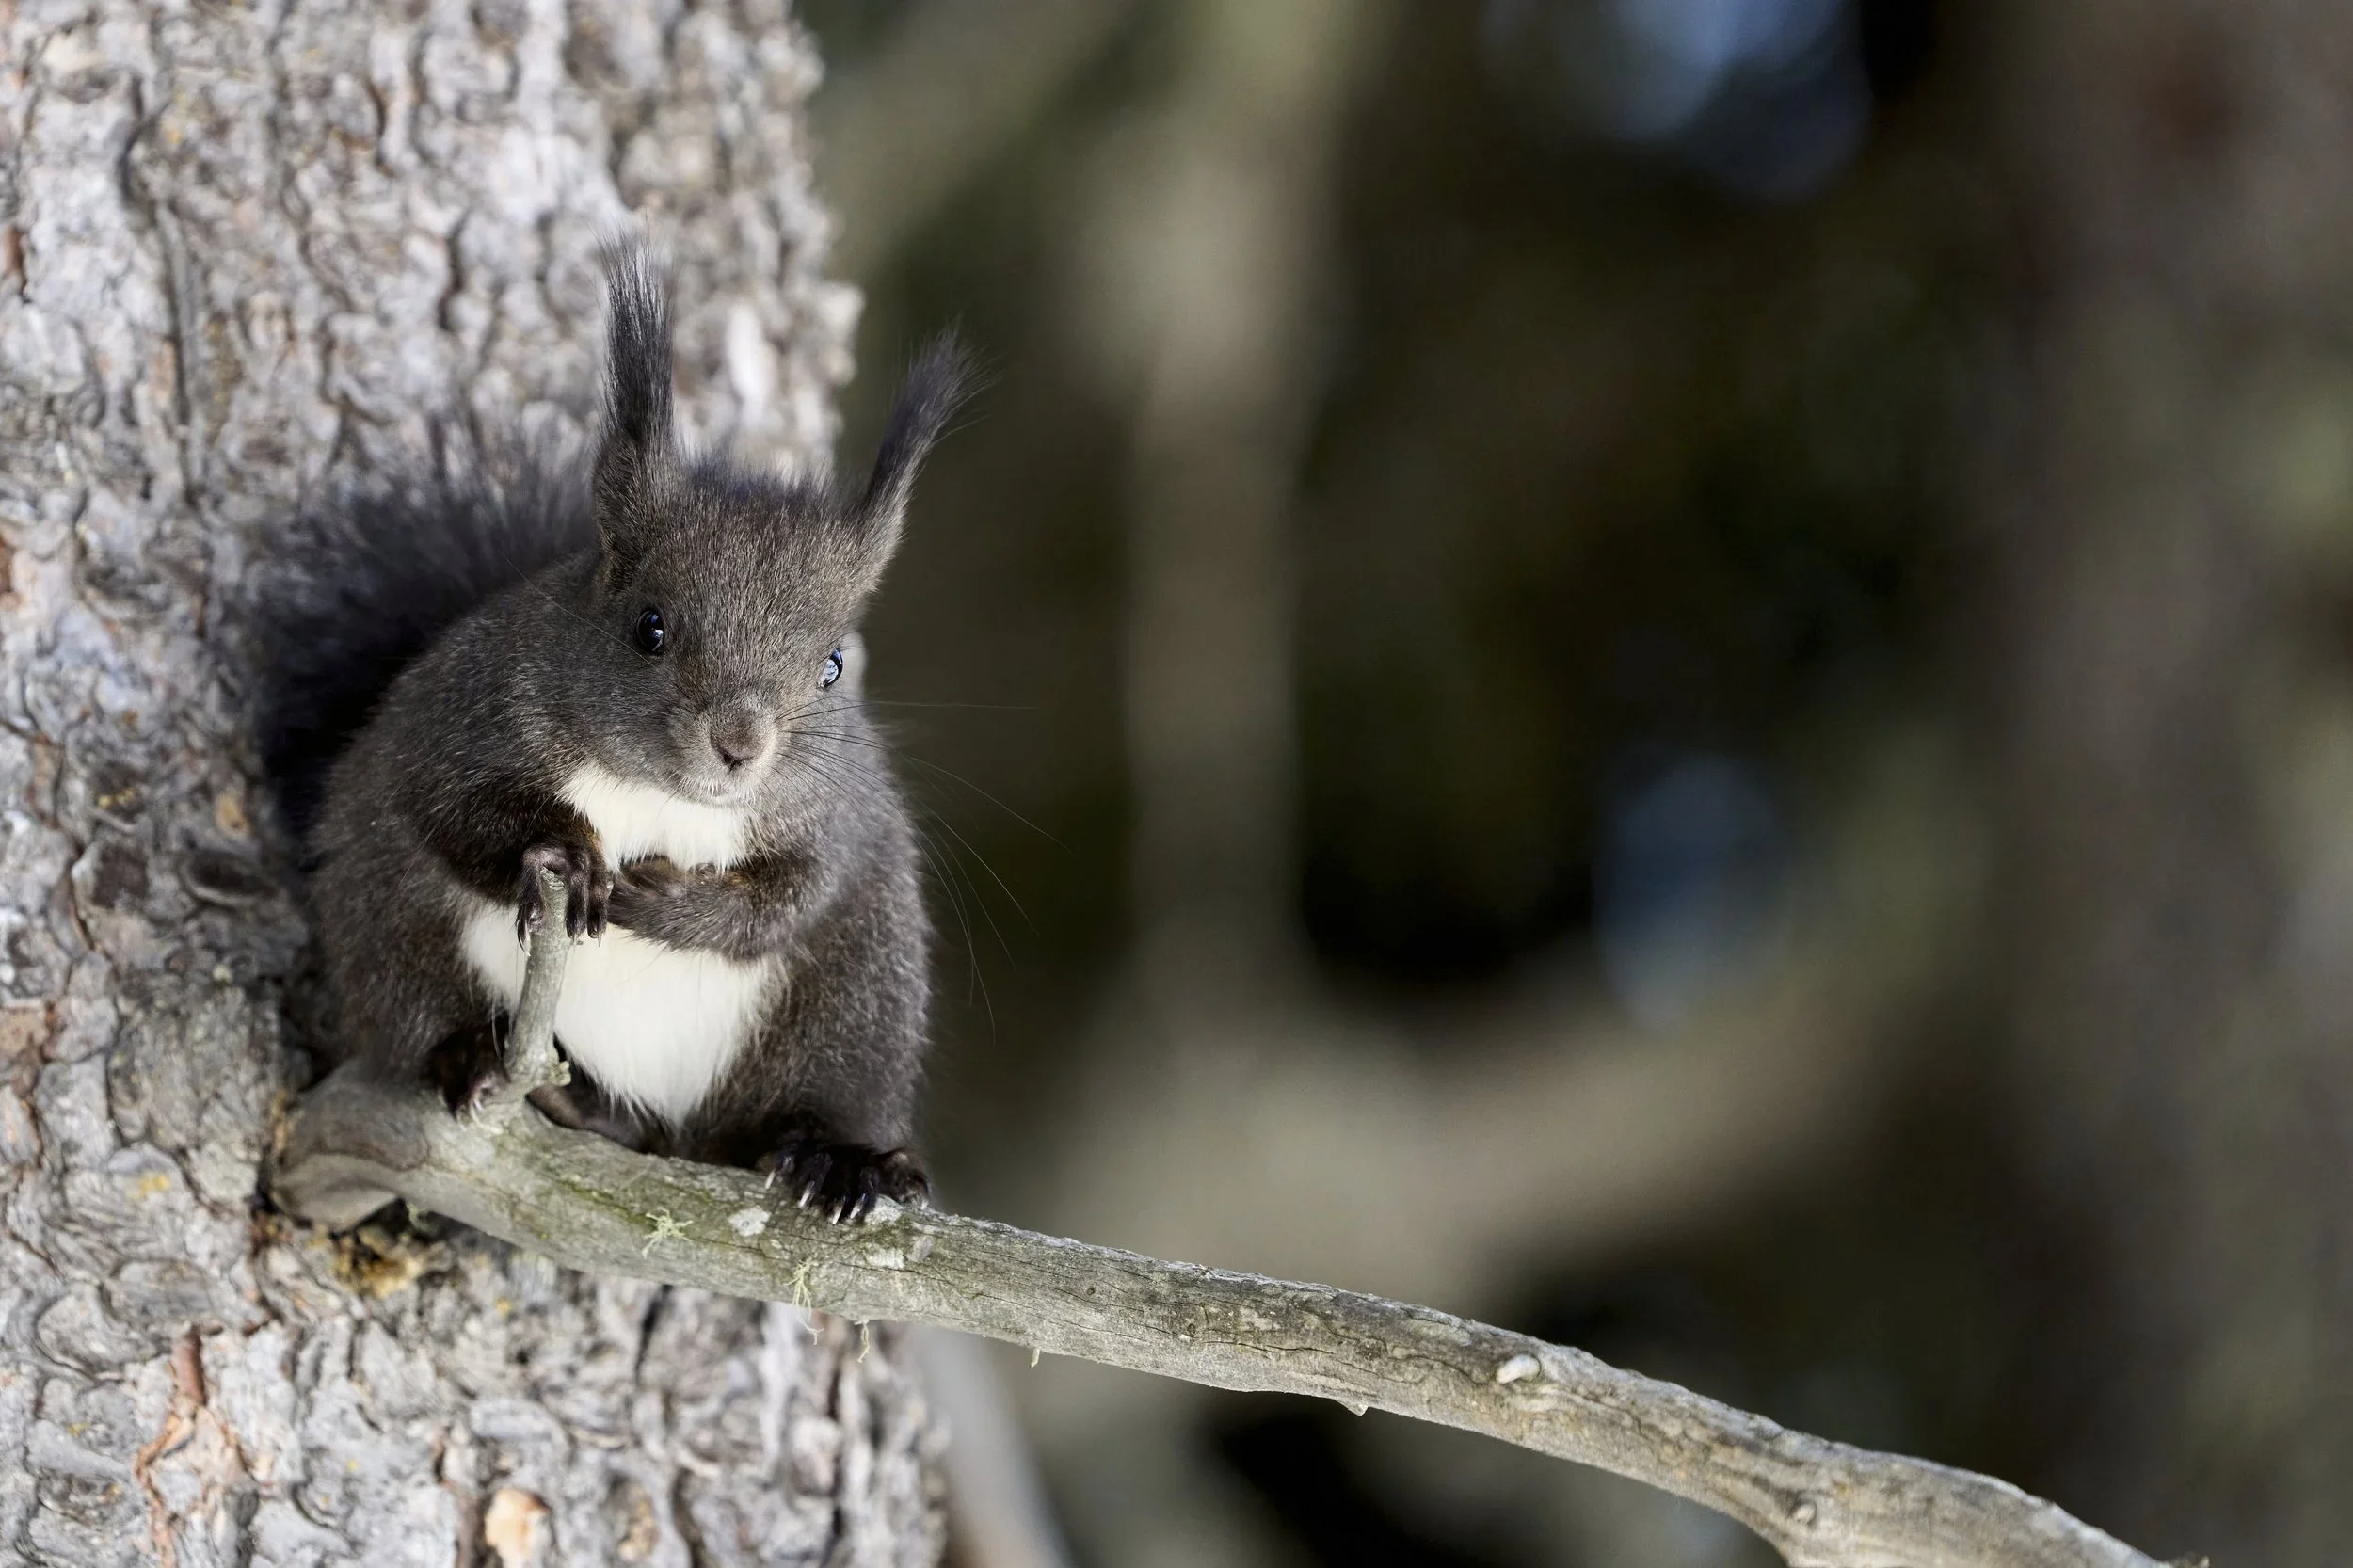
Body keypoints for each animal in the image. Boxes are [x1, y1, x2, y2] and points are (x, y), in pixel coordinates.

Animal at [256, 246, 969, 1223]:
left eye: (832, 665)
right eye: (649, 627)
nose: (740, 744)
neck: (662, 795)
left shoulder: (837, 818)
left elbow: (788, 899)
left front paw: (656, 899)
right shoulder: (461, 715)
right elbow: (453, 814)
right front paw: (570, 854)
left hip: (854, 1003)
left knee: (808, 1093)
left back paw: (841, 1159)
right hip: (389, 918)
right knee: (417, 1006)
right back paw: (513, 1073)